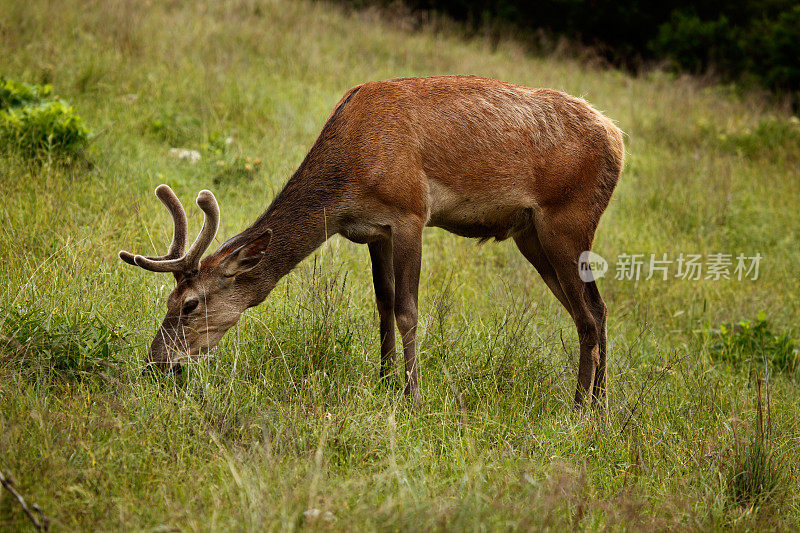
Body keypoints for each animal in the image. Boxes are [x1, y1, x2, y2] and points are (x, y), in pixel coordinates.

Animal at [122, 76, 624, 408]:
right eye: (168, 301)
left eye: (189, 304)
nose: (156, 363)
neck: (348, 177)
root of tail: (618, 140)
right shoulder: (372, 231)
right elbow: (383, 304)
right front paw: (383, 380)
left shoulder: (410, 213)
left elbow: (407, 310)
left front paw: (412, 396)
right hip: (531, 235)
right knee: (596, 308)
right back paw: (601, 403)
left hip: (567, 220)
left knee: (586, 314)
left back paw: (580, 406)